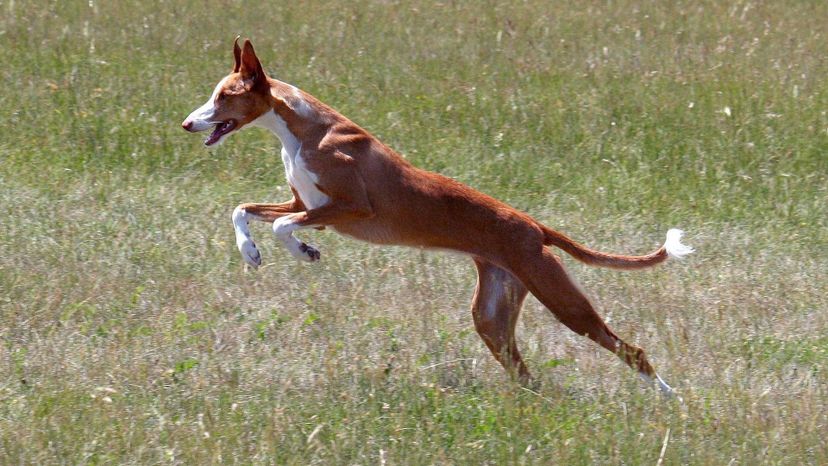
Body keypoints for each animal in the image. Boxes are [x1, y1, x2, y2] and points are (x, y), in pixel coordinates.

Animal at [181, 38, 692, 396]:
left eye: (224, 96)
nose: (187, 123)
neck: (305, 129)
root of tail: (533, 227)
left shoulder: (347, 209)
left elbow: (281, 225)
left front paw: (303, 251)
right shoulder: (308, 207)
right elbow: (243, 209)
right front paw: (251, 252)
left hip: (563, 301)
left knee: (632, 350)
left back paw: (670, 399)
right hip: (491, 316)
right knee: (524, 373)